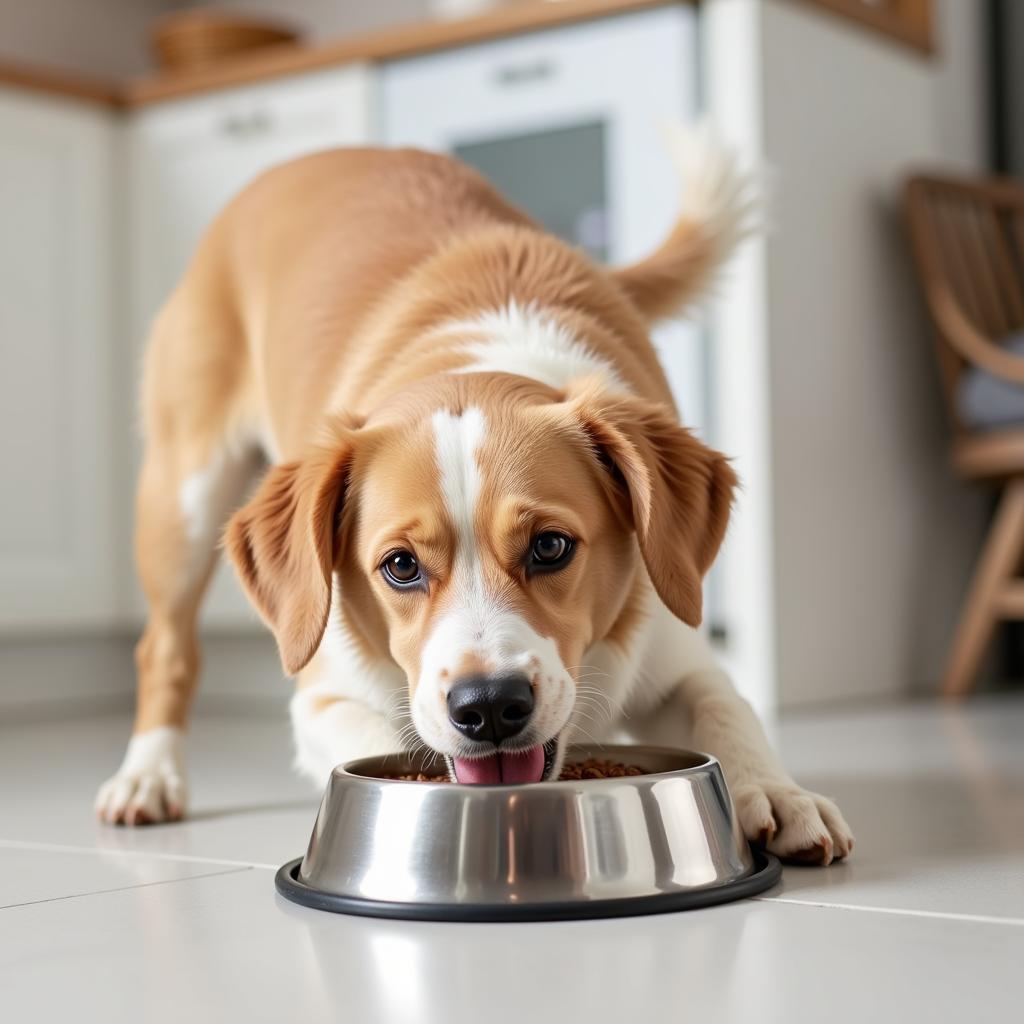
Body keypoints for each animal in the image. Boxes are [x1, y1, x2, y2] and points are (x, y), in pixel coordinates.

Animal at [96, 128, 851, 864]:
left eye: (551, 546)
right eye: (400, 565)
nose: (489, 706)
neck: (479, 365)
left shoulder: (676, 646)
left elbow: (726, 710)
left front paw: (777, 792)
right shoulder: (324, 695)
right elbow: (380, 743)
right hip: (183, 499)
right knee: (163, 650)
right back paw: (148, 774)